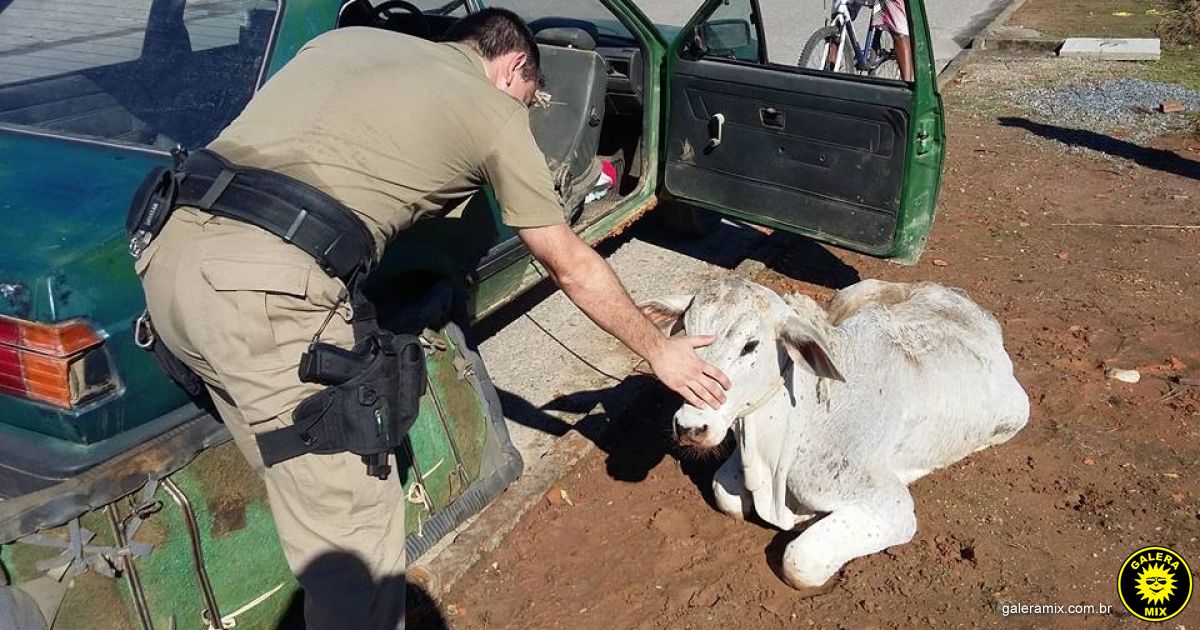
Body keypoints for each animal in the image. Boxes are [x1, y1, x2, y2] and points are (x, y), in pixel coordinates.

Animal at [643, 277, 1027, 588]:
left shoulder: (892, 505)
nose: (691, 427)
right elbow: (727, 496)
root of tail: (964, 300)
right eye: (686, 331)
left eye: (750, 346)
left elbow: (799, 561)